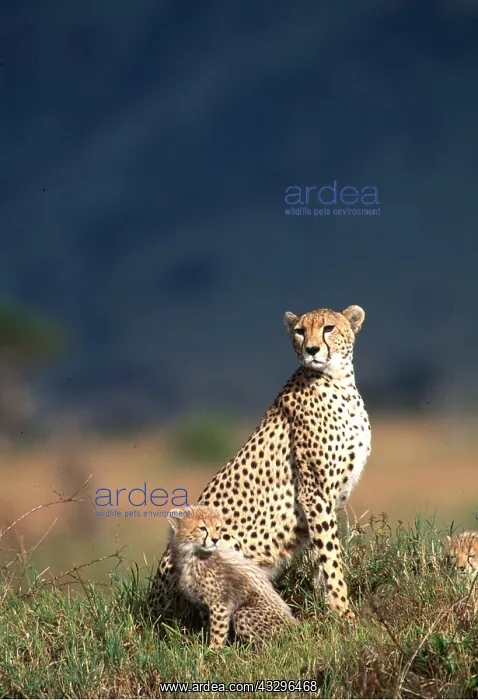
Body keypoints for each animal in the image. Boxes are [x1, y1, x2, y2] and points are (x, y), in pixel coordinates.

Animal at [149, 304, 371, 623]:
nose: (311, 349)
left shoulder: (326, 499)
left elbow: (322, 556)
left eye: (328, 328)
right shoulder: (315, 493)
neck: (338, 381)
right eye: (300, 331)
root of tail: (150, 609)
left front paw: (326, 608)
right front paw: (344, 614)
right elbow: (331, 558)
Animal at [168, 505, 298, 649]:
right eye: (202, 528)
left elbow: (218, 630)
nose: (215, 539)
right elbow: (209, 625)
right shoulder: (204, 605)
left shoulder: (220, 604)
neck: (192, 556)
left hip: (244, 614)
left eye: (217, 528)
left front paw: (213, 650)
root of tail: (295, 628)